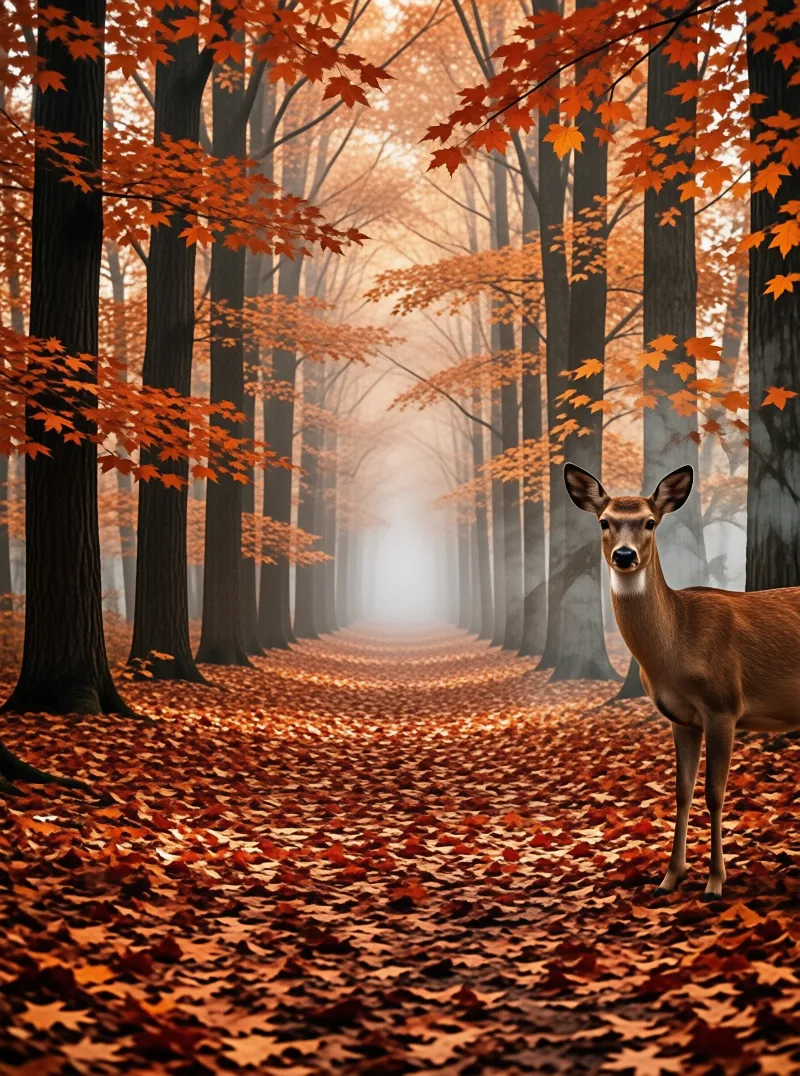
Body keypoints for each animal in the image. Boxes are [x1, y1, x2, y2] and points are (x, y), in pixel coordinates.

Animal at [564, 462, 800, 901]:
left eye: (650, 522)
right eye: (604, 521)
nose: (625, 555)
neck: (679, 643)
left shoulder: (724, 705)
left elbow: (714, 793)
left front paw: (715, 883)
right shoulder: (681, 719)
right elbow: (682, 791)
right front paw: (669, 877)